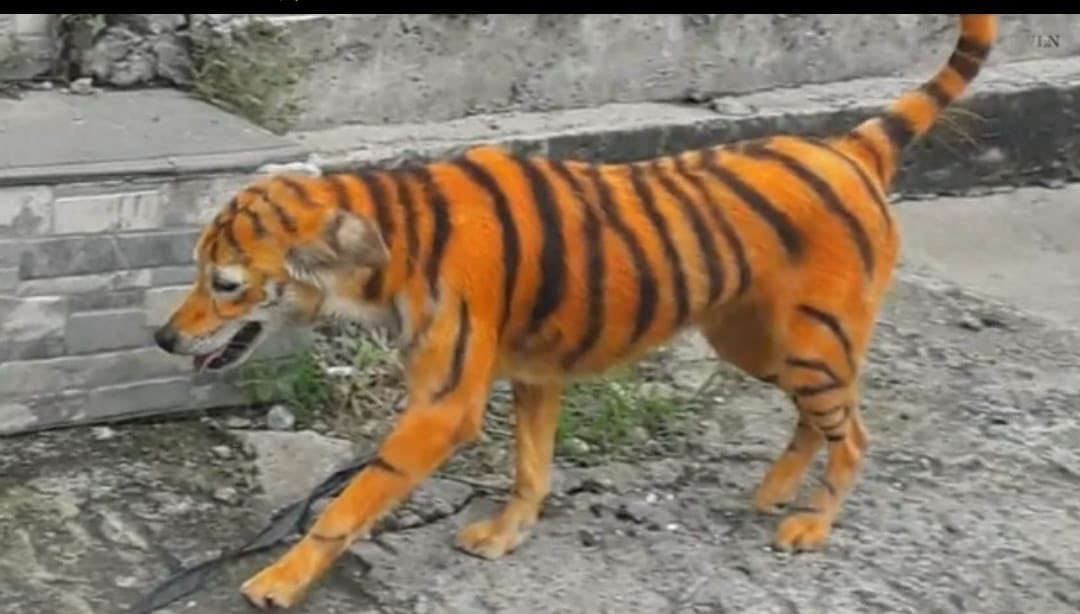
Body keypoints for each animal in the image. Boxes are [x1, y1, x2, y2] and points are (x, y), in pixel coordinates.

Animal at [152, 13, 997, 609]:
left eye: (224, 282)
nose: (161, 336)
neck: (387, 241)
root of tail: (850, 146)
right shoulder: (534, 375)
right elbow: (531, 468)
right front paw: (505, 536)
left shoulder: (445, 404)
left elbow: (352, 499)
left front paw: (279, 580)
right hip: (757, 341)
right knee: (817, 419)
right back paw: (772, 492)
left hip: (811, 342)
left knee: (854, 431)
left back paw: (812, 524)